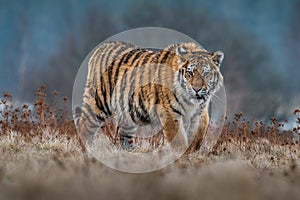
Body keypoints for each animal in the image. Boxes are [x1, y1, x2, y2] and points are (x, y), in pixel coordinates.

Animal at [74, 41, 224, 152]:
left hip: (128, 114)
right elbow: (179, 139)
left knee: (123, 135)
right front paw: (181, 155)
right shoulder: (170, 112)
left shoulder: (200, 111)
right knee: (84, 127)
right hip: (98, 102)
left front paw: (193, 148)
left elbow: (201, 129)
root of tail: (101, 48)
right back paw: (89, 152)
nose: (196, 89)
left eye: (206, 73)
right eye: (190, 73)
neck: (192, 102)